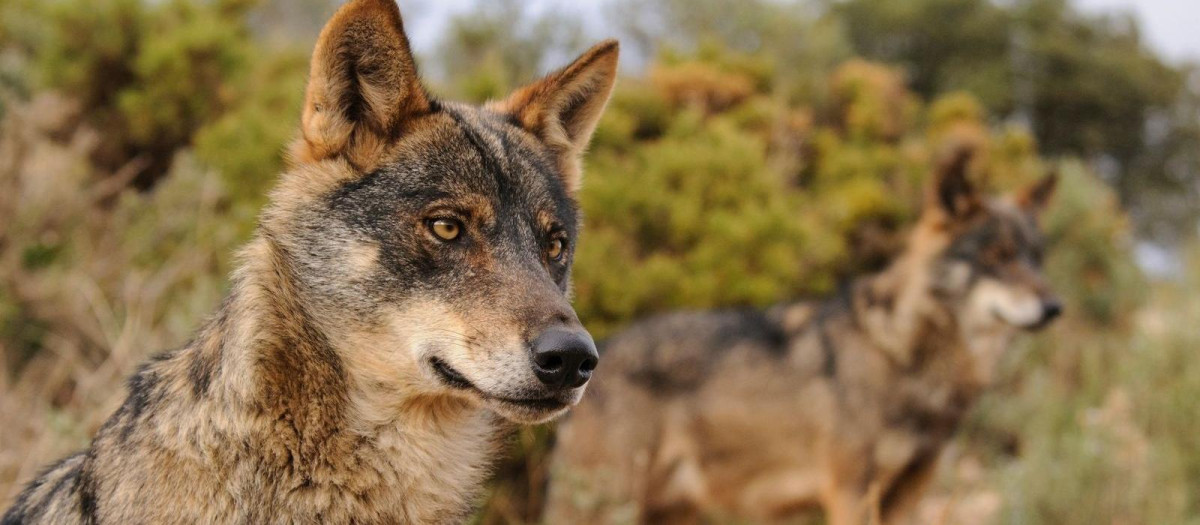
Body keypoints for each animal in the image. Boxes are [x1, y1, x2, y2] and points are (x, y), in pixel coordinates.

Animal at [545, 147, 1061, 525]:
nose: (1055, 308)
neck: (902, 352)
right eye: (997, 256)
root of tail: (600, 350)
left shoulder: (908, 496)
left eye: (1035, 258)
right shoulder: (850, 492)